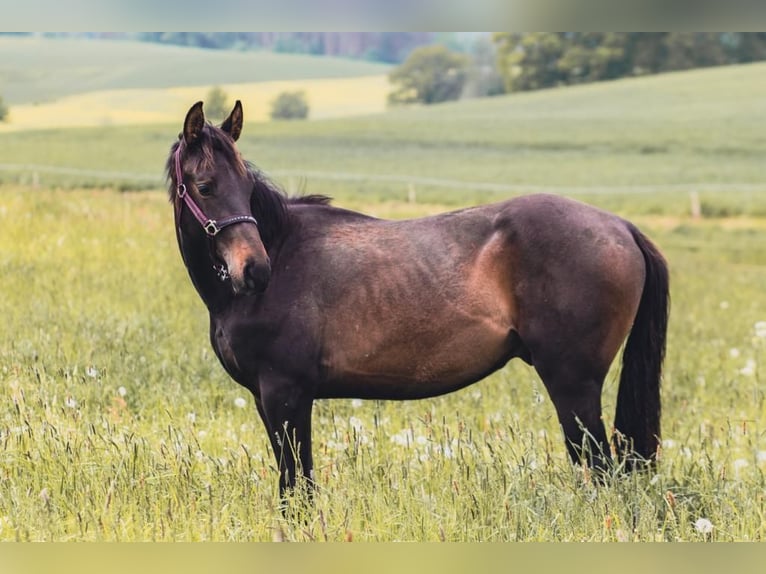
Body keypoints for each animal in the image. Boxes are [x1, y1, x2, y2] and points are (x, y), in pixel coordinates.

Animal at [166, 100, 669, 501]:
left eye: (246, 185)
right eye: (206, 186)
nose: (255, 270)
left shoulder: (286, 394)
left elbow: (297, 487)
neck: (283, 249)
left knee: (600, 468)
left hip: (573, 386)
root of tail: (622, 227)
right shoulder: (267, 399)